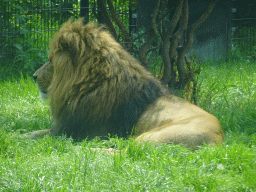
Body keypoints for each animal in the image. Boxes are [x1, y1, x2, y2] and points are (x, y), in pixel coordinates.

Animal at [25, 18, 224, 148]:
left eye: (50, 60)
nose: (34, 76)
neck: (91, 84)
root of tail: (218, 140)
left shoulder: (80, 131)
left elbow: (40, 134)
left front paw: (19, 138)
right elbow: (34, 132)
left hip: (151, 138)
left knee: (122, 152)